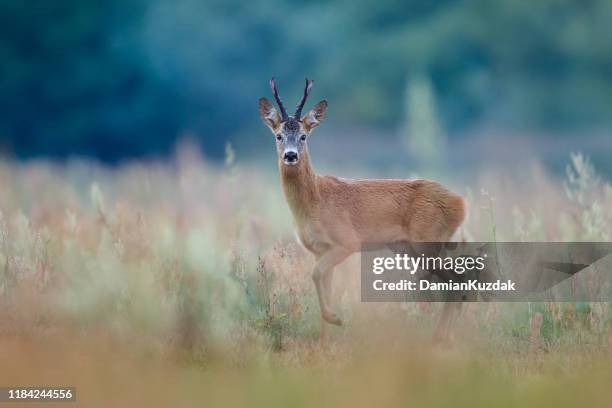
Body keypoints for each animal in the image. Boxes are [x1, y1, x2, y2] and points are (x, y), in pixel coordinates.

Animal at [256, 78, 464, 342]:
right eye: (278, 136)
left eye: (303, 136)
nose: (290, 156)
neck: (314, 201)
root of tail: (460, 203)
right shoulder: (319, 250)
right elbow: (324, 284)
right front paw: (324, 341)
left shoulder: (346, 241)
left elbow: (315, 275)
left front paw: (336, 318)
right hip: (418, 246)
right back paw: (444, 336)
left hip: (428, 241)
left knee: (457, 281)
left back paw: (441, 337)